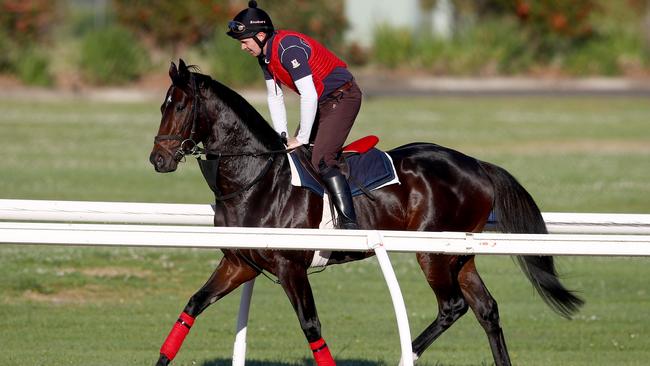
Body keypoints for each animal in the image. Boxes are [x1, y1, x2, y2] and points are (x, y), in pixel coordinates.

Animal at [148, 58, 584, 364]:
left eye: (180, 105)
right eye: (162, 105)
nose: (158, 159)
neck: (257, 178)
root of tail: (476, 164)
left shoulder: (291, 267)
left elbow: (311, 326)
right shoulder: (240, 262)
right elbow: (192, 305)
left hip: (432, 253)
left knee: (452, 306)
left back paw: (408, 353)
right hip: (461, 256)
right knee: (486, 310)